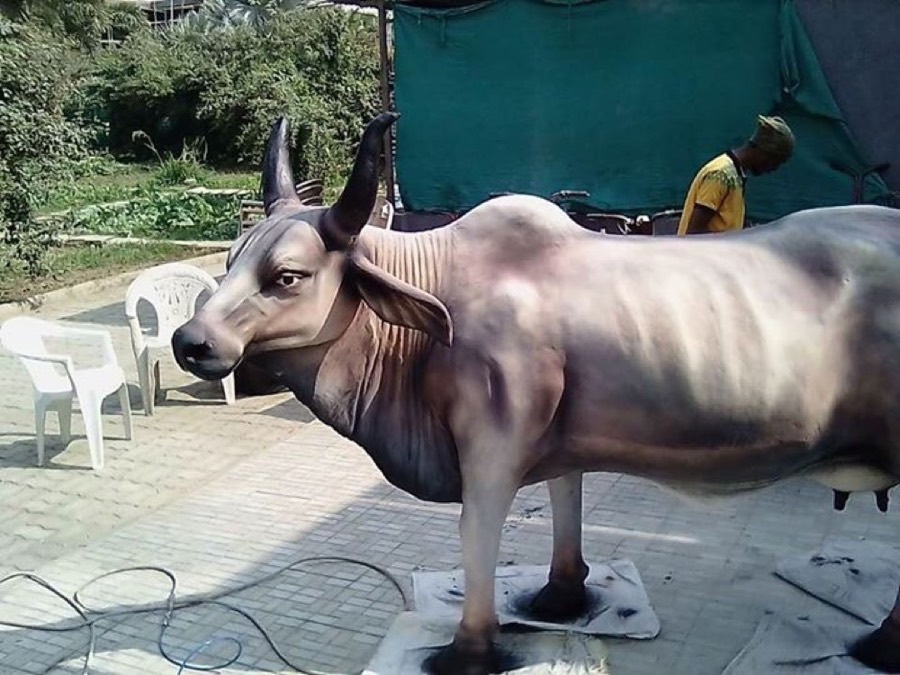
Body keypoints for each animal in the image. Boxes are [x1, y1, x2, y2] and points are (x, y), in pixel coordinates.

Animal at [172, 113, 900, 675]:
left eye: (287, 276)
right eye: (231, 260)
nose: (191, 341)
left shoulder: (492, 445)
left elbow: (477, 532)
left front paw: (468, 649)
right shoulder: (558, 436)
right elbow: (564, 498)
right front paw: (560, 596)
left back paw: (880, 645)